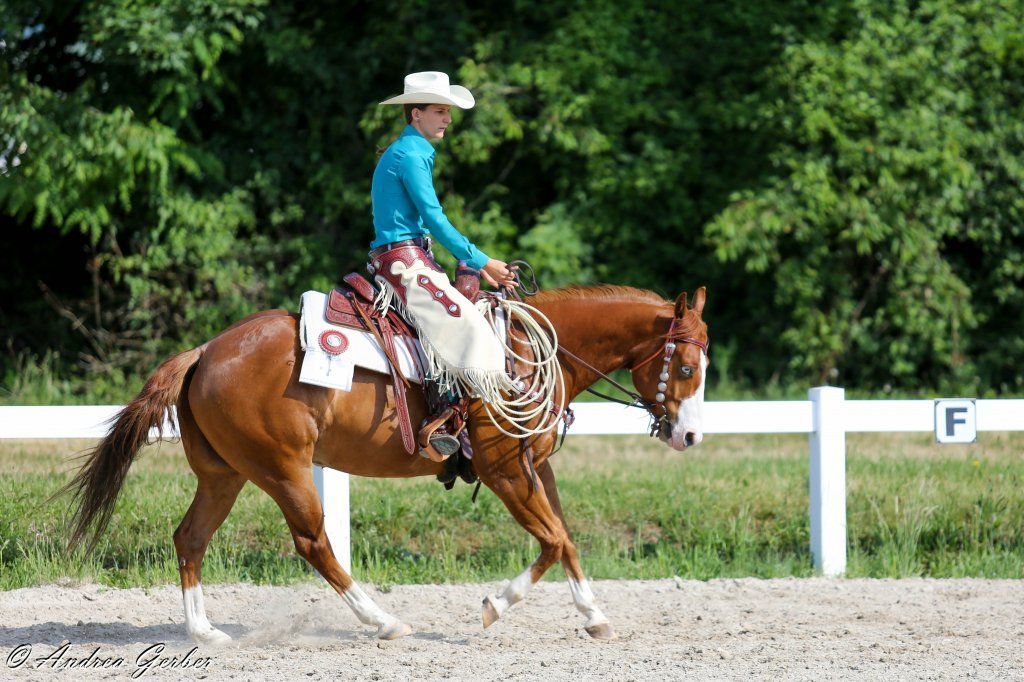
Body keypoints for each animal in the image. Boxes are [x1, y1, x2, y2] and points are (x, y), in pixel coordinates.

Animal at [59, 284, 709, 642]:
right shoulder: (503, 472)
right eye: (684, 367)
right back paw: (382, 620)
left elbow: (566, 539)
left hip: (226, 475)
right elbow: (550, 541)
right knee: (314, 543)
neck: (524, 353)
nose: (691, 435)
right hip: (283, 470)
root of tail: (206, 351)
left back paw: (203, 632)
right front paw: (495, 606)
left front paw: (594, 615)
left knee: (190, 538)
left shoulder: (535, 468)